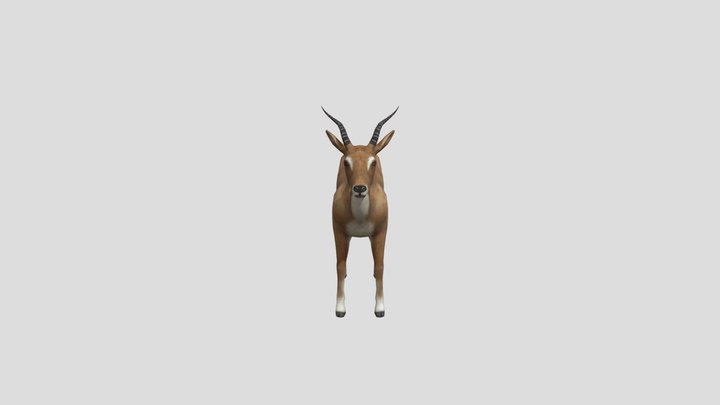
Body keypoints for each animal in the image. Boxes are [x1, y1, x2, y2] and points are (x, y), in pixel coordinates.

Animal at [322, 107, 398, 318]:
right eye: (346, 162)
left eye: (373, 162)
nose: (359, 189)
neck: (360, 218)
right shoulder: (339, 231)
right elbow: (340, 266)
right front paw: (340, 308)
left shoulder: (381, 231)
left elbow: (379, 266)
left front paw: (380, 308)